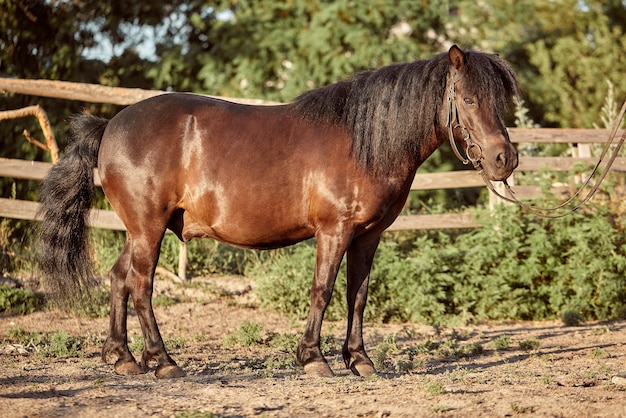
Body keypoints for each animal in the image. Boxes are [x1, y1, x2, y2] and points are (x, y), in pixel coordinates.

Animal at [37, 45, 516, 378]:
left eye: (501, 102)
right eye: (467, 100)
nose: (504, 159)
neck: (364, 141)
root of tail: (110, 126)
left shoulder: (368, 235)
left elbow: (357, 295)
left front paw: (359, 359)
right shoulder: (334, 231)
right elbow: (322, 290)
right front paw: (314, 359)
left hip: (140, 231)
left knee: (119, 278)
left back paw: (122, 358)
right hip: (148, 229)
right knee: (140, 286)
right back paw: (164, 361)